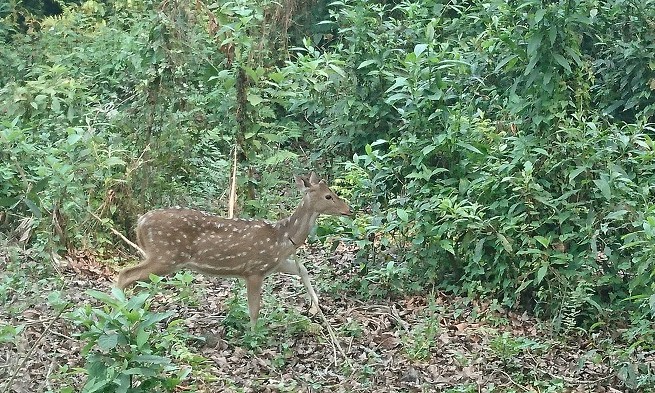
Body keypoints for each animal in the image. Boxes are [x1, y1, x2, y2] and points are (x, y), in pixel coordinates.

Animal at [118, 172, 354, 328]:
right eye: (328, 196)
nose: (349, 209)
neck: (283, 238)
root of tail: (140, 222)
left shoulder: (275, 263)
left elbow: (303, 269)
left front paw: (316, 305)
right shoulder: (254, 269)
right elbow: (254, 309)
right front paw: (254, 336)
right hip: (166, 255)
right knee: (126, 273)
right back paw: (118, 309)